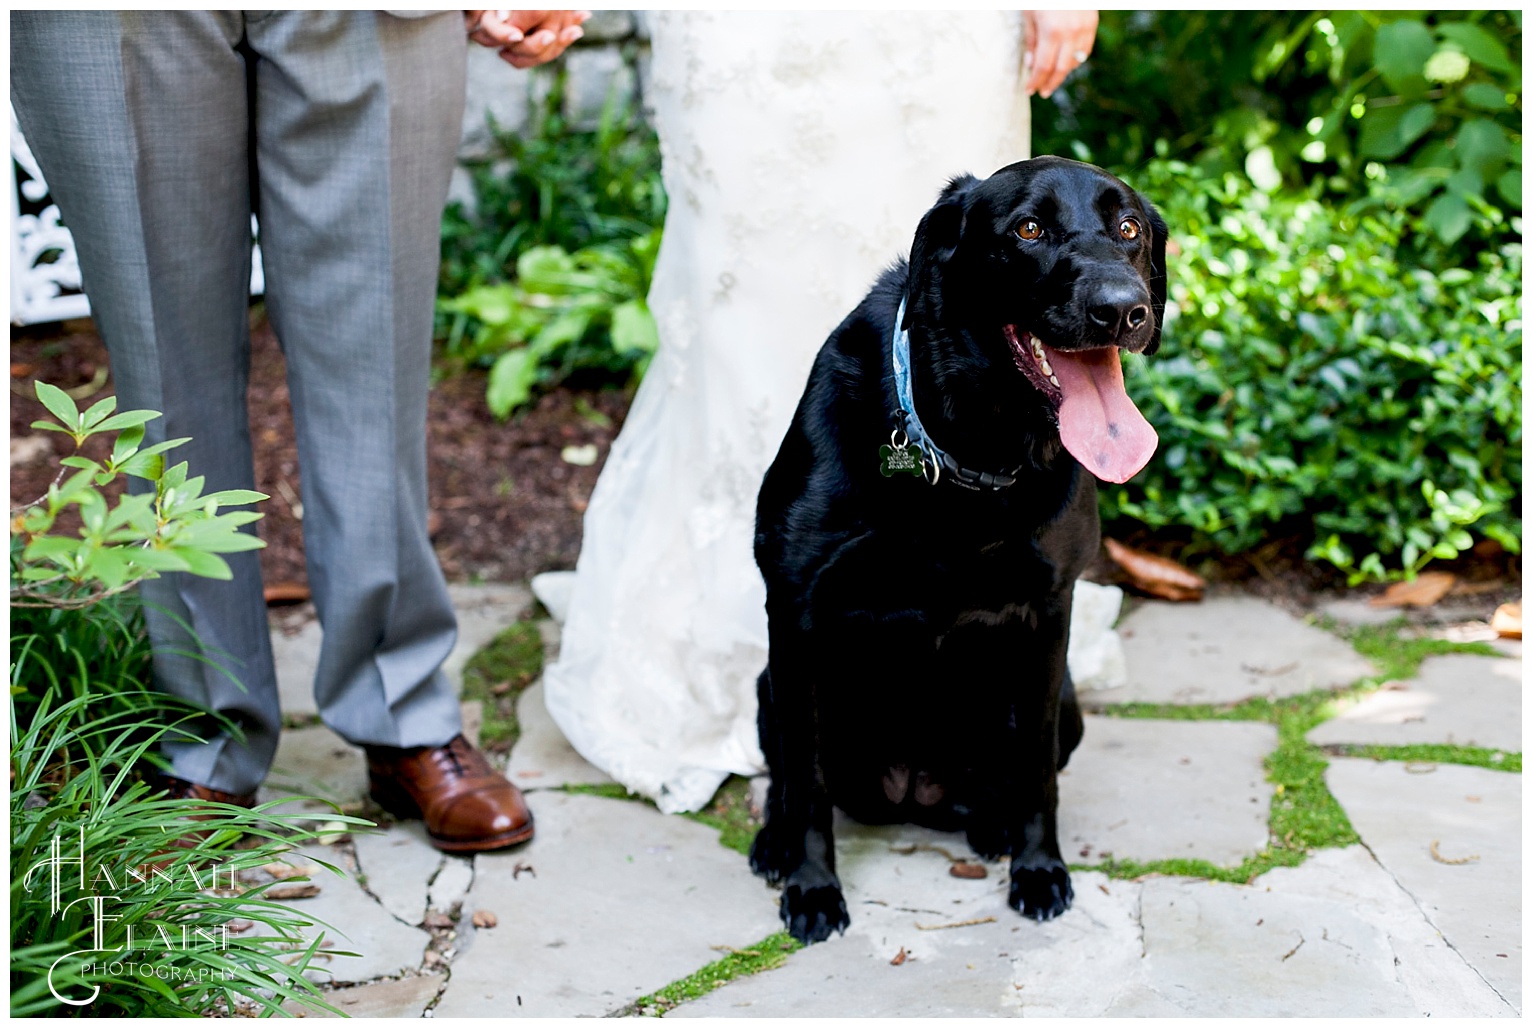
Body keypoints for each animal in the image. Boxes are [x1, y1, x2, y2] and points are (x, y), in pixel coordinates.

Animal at [747, 157, 1164, 943]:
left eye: (1129, 228)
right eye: (1028, 229)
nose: (1123, 309)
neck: (971, 449)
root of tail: (912, 794)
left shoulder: (1049, 614)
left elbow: (1037, 773)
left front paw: (1039, 868)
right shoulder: (796, 609)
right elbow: (807, 781)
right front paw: (813, 887)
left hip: (1068, 701)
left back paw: (992, 830)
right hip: (767, 684)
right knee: (787, 777)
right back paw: (775, 844)